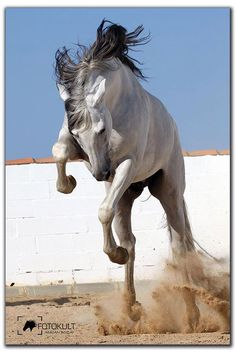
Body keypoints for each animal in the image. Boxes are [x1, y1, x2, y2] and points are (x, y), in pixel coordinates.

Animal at [52, 18, 202, 330]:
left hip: (168, 192)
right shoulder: (75, 145)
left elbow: (103, 212)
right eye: (77, 132)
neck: (118, 105)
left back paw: (191, 315)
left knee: (179, 245)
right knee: (130, 242)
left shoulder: (126, 165)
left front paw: (114, 255)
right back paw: (130, 307)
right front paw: (67, 183)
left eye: (101, 129)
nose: (100, 173)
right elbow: (58, 151)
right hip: (126, 195)